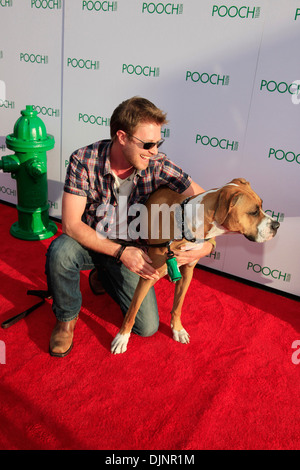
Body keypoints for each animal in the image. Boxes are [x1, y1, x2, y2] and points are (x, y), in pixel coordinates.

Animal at [111, 178, 280, 354]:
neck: (186, 226)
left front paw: (177, 330)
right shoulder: (148, 275)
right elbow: (133, 310)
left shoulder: (187, 272)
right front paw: (122, 338)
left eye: (261, 205)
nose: (277, 225)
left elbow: (178, 305)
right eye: (253, 212)